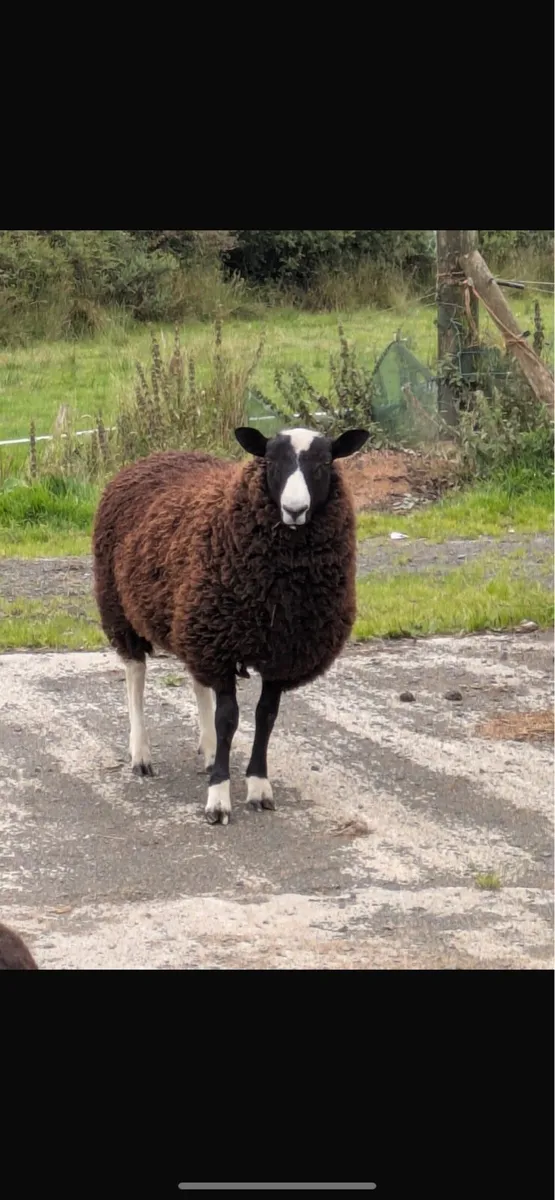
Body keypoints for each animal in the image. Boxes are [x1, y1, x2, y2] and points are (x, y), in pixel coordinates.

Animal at [93, 425, 369, 825]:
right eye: (271, 462)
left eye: (324, 464)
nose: (295, 510)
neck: (281, 590)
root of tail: (158, 455)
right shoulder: (222, 647)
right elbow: (229, 719)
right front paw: (219, 799)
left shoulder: (279, 653)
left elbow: (265, 717)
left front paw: (259, 787)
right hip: (121, 607)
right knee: (135, 675)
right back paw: (141, 755)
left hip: (195, 622)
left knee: (196, 681)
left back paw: (209, 751)